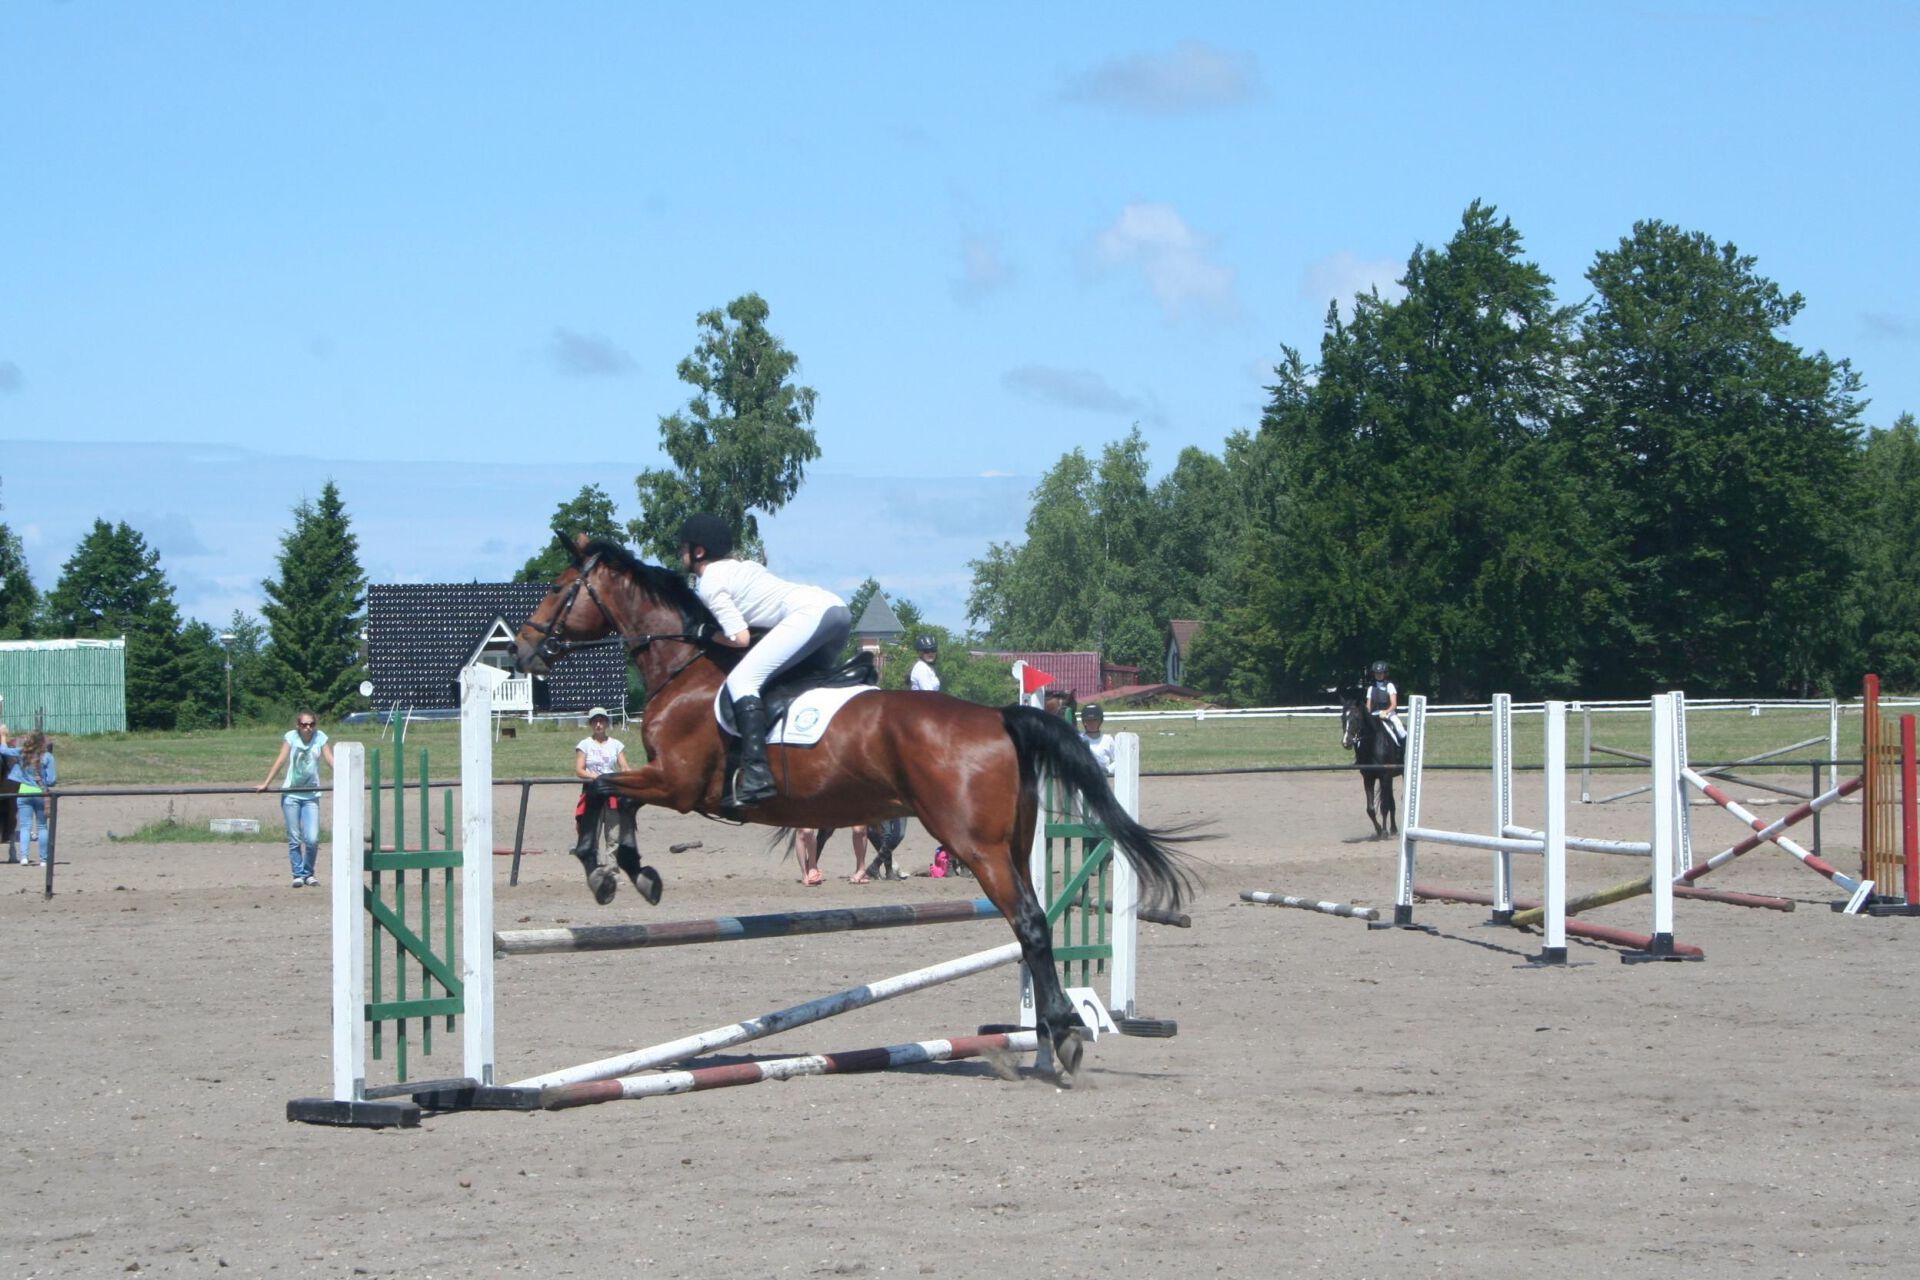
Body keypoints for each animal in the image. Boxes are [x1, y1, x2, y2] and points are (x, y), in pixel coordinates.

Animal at [511, 534, 1195, 1084]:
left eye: (557, 588)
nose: (520, 651)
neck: (686, 667)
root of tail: (1000, 716)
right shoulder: (671, 785)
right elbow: (610, 794)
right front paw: (629, 872)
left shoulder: (678, 786)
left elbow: (606, 791)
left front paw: (612, 870)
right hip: (1015, 843)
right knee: (1038, 925)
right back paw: (1053, 1036)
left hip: (975, 844)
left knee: (1027, 922)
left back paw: (1066, 1032)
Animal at [1340, 688, 1404, 838]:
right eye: (1343, 718)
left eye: (1356, 718)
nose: (1346, 742)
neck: (1372, 742)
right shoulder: (1368, 778)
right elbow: (1370, 809)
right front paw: (1379, 830)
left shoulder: (1384, 776)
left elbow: (1384, 806)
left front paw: (1384, 832)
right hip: (1389, 778)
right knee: (1391, 802)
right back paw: (1393, 829)